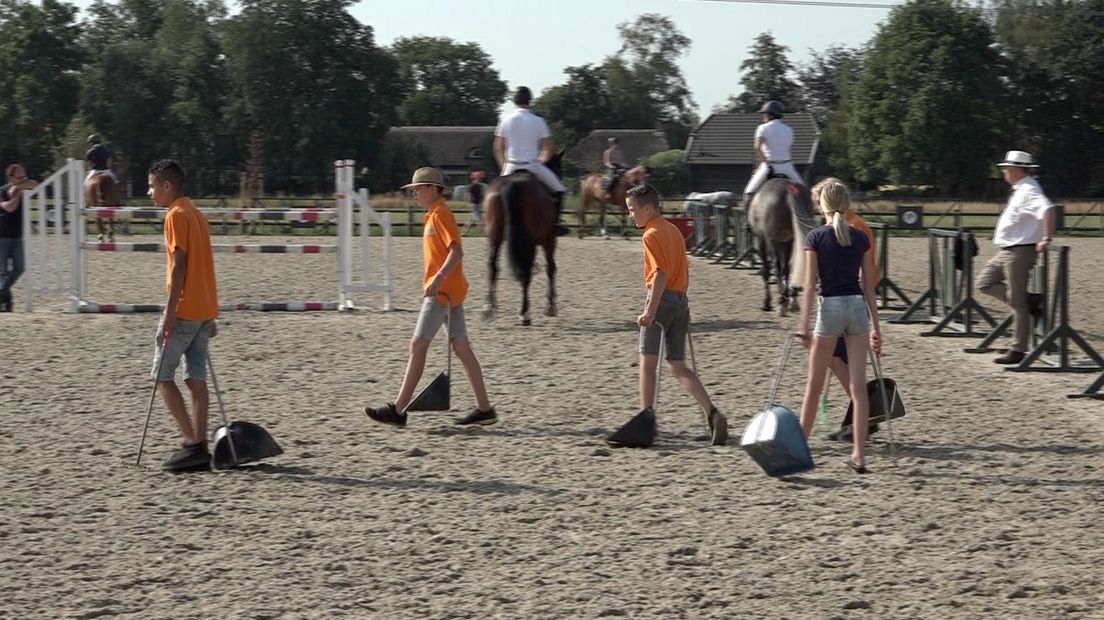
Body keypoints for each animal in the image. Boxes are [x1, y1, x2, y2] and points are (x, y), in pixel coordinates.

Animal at [481, 151, 560, 324]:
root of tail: (512, 182)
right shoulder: (548, 239)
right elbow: (551, 268)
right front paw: (550, 307)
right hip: (531, 241)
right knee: (526, 271)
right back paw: (525, 313)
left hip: (495, 235)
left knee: (492, 266)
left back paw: (489, 308)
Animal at [746, 177, 816, 313]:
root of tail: (788, 189)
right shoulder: (786, 241)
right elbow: (786, 268)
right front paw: (788, 295)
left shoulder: (762, 240)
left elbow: (768, 270)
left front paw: (768, 302)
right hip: (791, 238)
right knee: (788, 266)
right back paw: (791, 299)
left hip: (771, 241)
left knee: (777, 266)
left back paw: (783, 299)